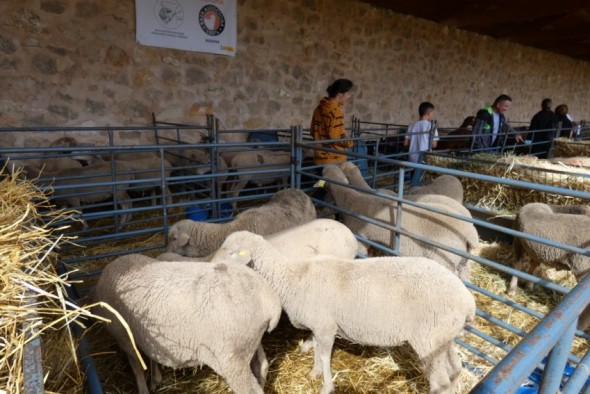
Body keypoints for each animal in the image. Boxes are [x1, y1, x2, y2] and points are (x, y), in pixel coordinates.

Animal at [92, 254, 282, 392]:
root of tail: (269, 301)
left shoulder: (123, 335)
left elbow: (137, 367)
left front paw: (145, 388)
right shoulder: (145, 333)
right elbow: (151, 355)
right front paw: (155, 379)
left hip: (232, 357)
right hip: (249, 342)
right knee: (262, 366)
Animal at [210, 231, 478, 394]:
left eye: (232, 252)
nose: (210, 266)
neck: (294, 277)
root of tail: (467, 300)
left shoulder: (326, 327)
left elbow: (325, 356)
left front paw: (325, 385)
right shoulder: (319, 326)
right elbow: (317, 352)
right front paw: (314, 372)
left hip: (429, 340)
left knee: (440, 382)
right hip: (442, 338)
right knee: (455, 369)